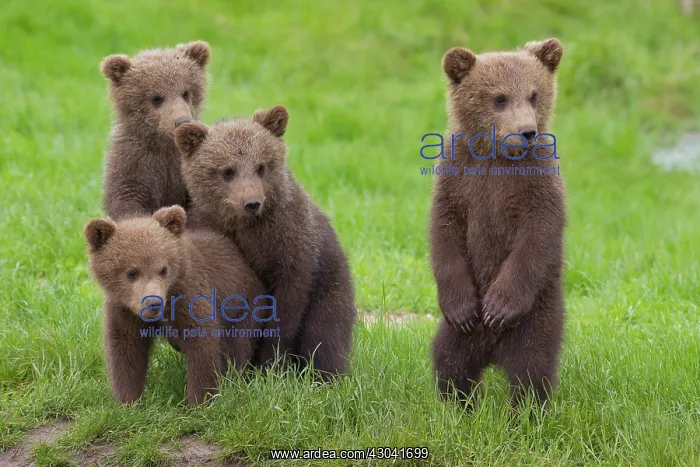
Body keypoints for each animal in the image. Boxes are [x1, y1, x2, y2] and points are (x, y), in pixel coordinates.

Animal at [85, 205, 268, 406]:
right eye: (131, 272)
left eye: (163, 269)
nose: (153, 302)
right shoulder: (123, 310)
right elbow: (125, 349)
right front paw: (128, 401)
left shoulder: (189, 297)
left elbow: (202, 345)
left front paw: (199, 401)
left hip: (243, 306)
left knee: (238, 346)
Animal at [100, 41, 210, 220]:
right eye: (156, 98)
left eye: (186, 93)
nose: (182, 121)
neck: (164, 145)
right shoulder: (133, 162)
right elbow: (128, 199)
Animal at [173, 106, 357, 379]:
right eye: (227, 171)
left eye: (260, 166)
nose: (251, 202)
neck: (245, 227)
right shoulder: (213, 230)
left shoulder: (289, 244)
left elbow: (286, 312)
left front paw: (271, 366)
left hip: (331, 287)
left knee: (324, 336)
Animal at [430, 39, 567, 406]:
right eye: (499, 97)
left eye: (534, 94)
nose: (527, 132)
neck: (496, 156)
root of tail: (492, 353)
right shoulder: (457, 178)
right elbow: (444, 231)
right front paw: (463, 309)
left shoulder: (538, 184)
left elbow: (537, 236)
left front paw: (498, 307)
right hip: (454, 336)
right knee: (449, 361)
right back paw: (457, 406)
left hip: (538, 316)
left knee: (531, 370)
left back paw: (526, 412)